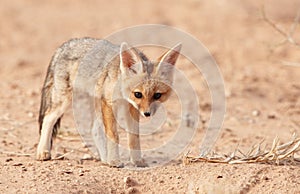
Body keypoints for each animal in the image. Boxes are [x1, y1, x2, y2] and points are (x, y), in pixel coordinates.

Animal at [37, 37, 183, 167]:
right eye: (138, 94)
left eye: (157, 95)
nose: (147, 114)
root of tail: (65, 45)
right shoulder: (109, 103)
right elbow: (114, 135)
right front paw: (114, 160)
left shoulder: (131, 107)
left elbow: (134, 137)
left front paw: (137, 161)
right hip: (64, 101)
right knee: (48, 118)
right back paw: (43, 151)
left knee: (95, 130)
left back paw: (104, 159)